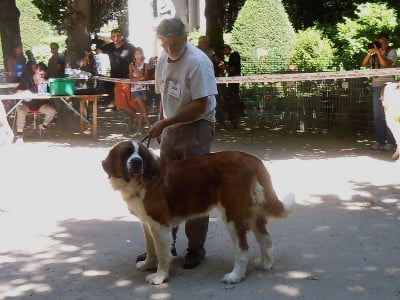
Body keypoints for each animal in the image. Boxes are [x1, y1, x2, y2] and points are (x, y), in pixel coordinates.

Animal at [101, 139, 296, 284]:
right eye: (126, 153)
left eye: (140, 154)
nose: (136, 162)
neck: (144, 179)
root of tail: (250, 158)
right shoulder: (146, 221)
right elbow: (151, 248)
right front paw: (147, 264)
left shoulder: (159, 223)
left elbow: (162, 252)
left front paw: (159, 277)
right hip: (252, 212)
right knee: (266, 239)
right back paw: (265, 264)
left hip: (233, 214)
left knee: (243, 249)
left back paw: (235, 276)